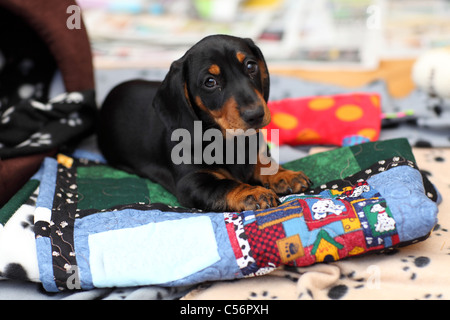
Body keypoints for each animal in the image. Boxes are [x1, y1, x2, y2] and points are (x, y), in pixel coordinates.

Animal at [97, 34, 310, 212]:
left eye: (251, 66)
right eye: (210, 82)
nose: (255, 115)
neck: (228, 140)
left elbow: (263, 162)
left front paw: (285, 174)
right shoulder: (192, 182)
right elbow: (226, 185)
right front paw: (253, 192)